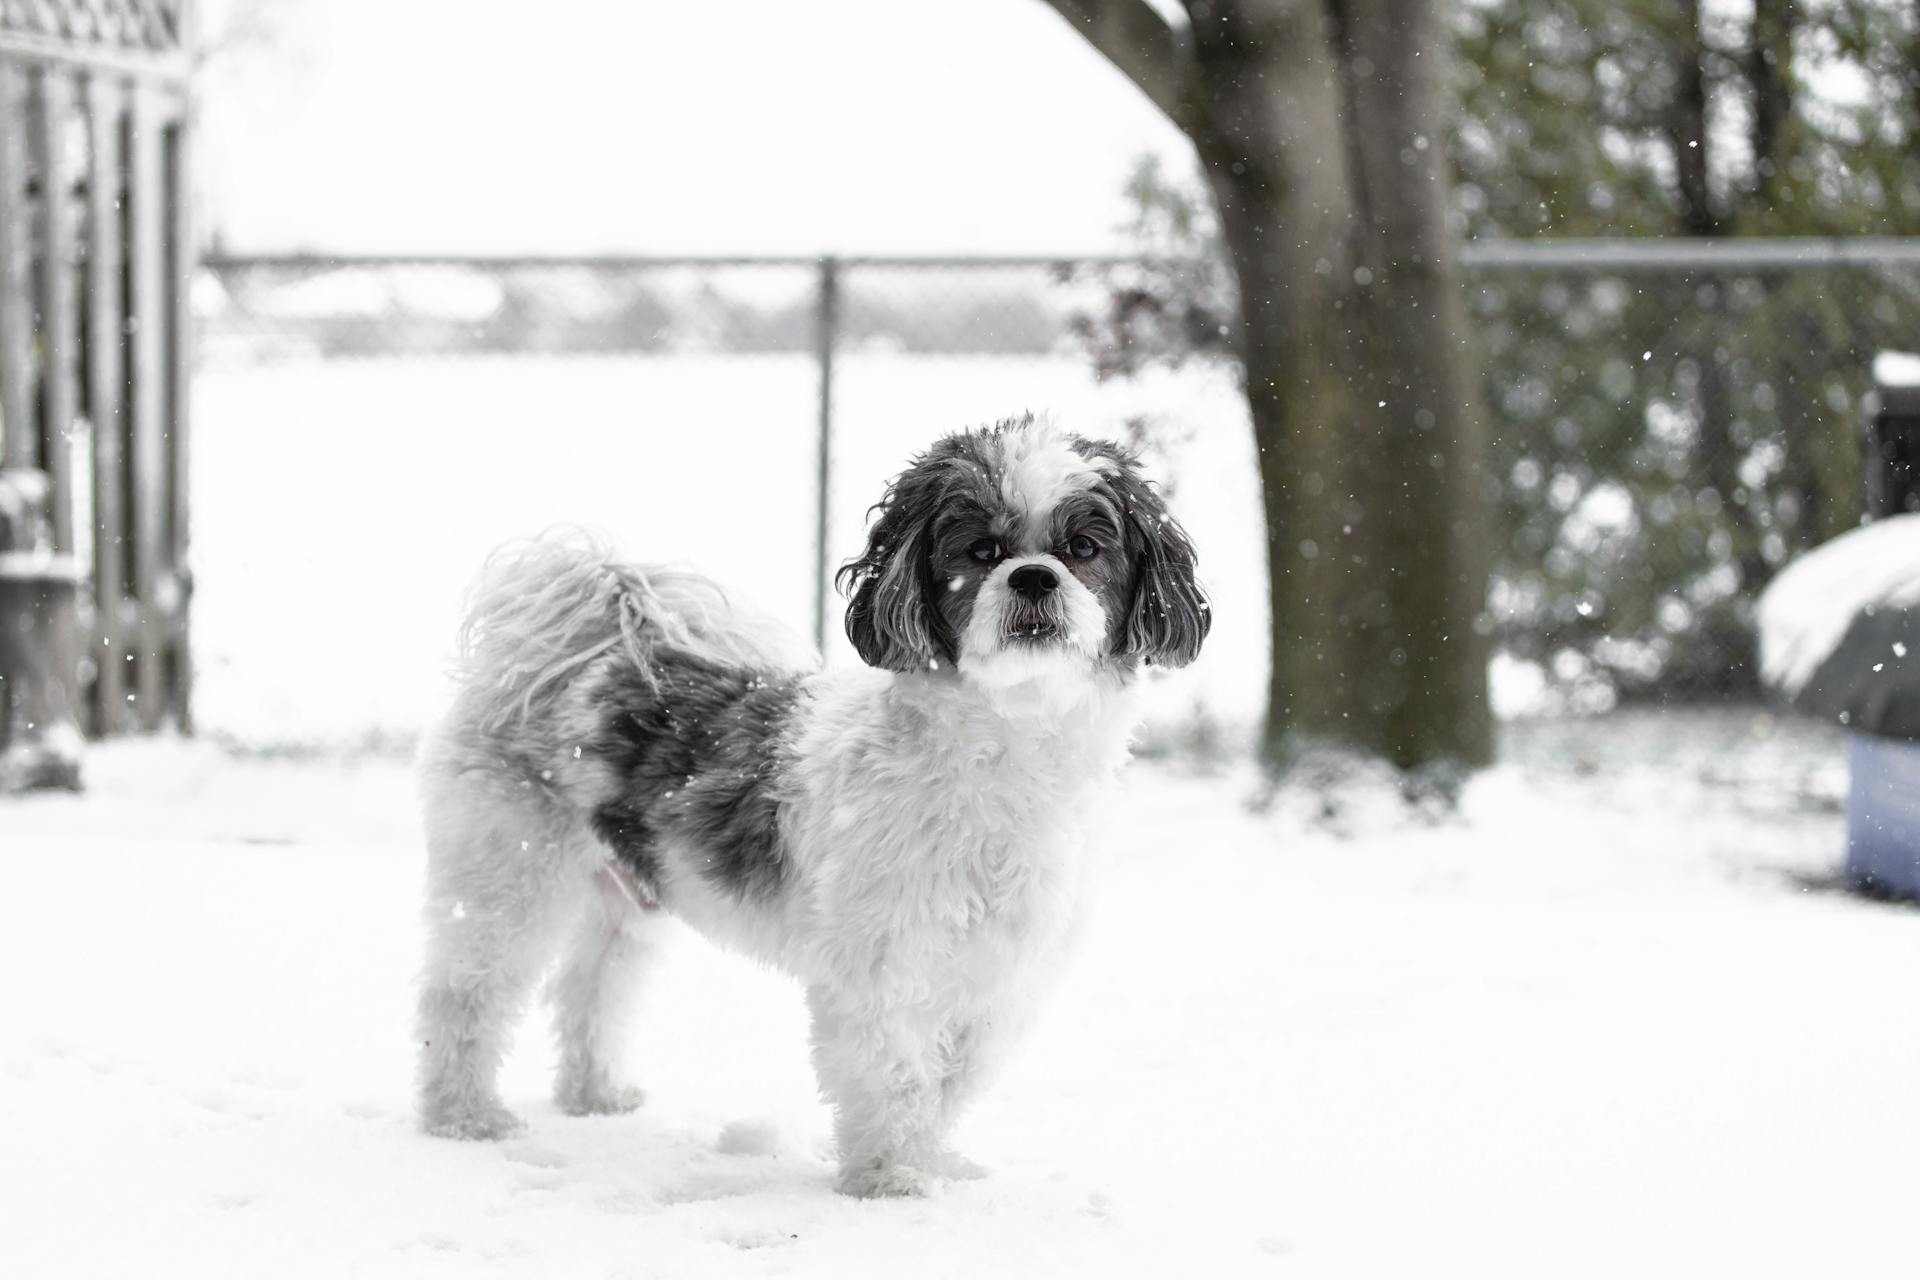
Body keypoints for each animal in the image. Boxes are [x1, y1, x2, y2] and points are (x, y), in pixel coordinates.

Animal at [414, 416, 1205, 1197]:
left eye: (1084, 548)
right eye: (982, 551)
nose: (1035, 574)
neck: (1005, 755)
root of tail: (591, 642)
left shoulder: (999, 977)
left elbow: (951, 1081)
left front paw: (936, 1161)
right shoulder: (879, 965)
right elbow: (894, 1075)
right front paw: (890, 1177)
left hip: (629, 898)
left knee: (592, 989)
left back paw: (595, 1093)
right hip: (508, 872)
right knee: (467, 993)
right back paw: (462, 1115)